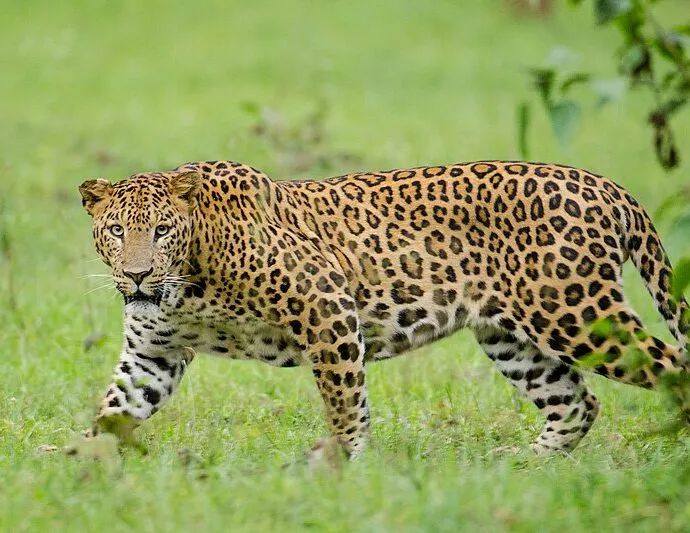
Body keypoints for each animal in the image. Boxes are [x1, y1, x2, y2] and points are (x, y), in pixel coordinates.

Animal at [79, 160, 689, 457]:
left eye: (162, 231)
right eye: (117, 230)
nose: (137, 274)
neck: (188, 282)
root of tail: (606, 185)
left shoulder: (326, 304)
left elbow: (345, 400)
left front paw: (343, 463)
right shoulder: (153, 354)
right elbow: (115, 409)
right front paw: (77, 468)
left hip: (576, 314)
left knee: (673, 368)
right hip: (512, 336)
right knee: (577, 403)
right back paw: (520, 465)